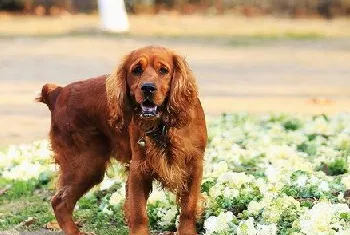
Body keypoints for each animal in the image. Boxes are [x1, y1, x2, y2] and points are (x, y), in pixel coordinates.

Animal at [37, 46, 208, 235]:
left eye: (164, 70)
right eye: (136, 70)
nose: (148, 88)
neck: (163, 126)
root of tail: (57, 92)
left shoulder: (194, 165)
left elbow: (188, 207)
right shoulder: (138, 168)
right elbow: (139, 213)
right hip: (86, 164)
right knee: (59, 202)